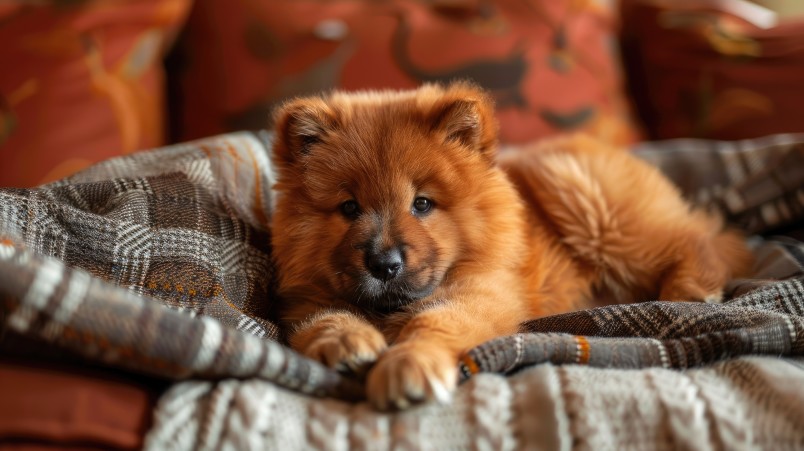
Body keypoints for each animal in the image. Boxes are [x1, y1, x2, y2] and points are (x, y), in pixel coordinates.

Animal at [270, 81, 752, 410]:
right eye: (349, 208)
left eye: (422, 204)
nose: (383, 263)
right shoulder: (305, 299)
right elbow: (323, 318)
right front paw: (346, 342)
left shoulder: (481, 291)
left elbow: (433, 322)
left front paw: (409, 365)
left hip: (586, 199)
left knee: (706, 238)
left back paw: (691, 289)